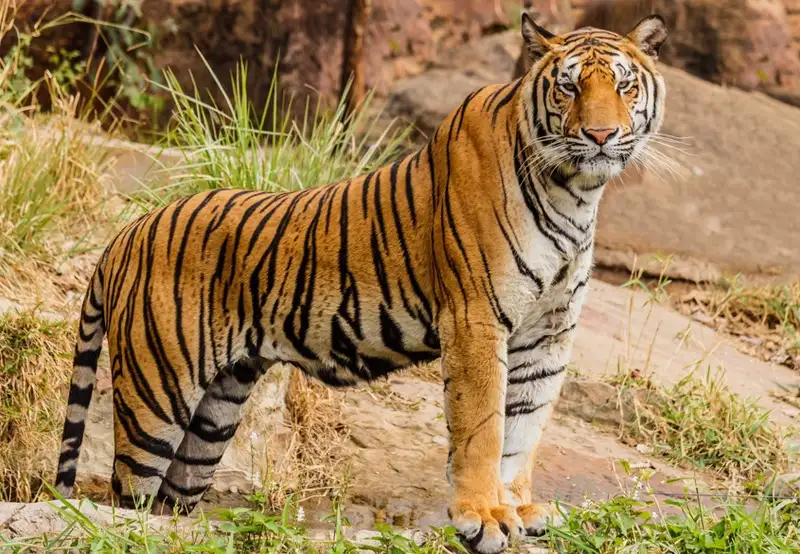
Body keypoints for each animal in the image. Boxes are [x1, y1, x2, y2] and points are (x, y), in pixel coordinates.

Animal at [55, 13, 667, 554]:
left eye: (624, 84)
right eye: (568, 87)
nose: (601, 134)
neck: (576, 192)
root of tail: (125, 233)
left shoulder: (548, 333)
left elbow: (524, 429)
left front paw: (516, 507)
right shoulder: (476, 318)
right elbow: (484, 427)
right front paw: (483, 518)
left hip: (214, 415)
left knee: (169, 502)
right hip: (155, 396)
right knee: (125, 498)